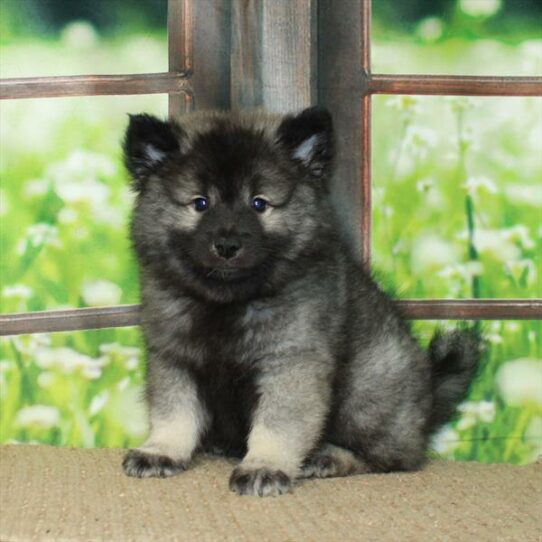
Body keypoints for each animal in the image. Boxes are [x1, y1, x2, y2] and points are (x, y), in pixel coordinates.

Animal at [122, 108, 480, 500]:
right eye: (200, 203)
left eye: (259, 204)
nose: (227, 245)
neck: (229, 303)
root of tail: (430, 396)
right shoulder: (174, 359)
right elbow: (174, 413)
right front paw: (162, 450)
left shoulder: (291, 363)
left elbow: (278, 424)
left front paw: (264, 465)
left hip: (365, 393)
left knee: (391, 458)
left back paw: (329, 458)